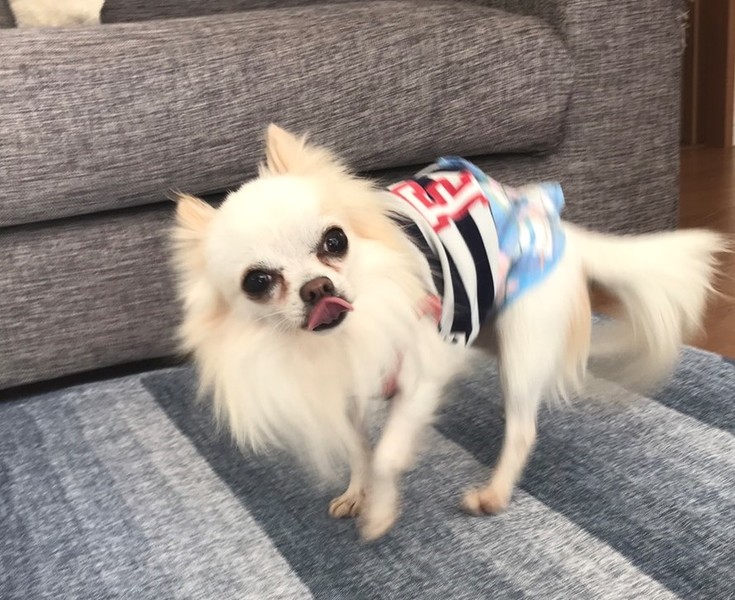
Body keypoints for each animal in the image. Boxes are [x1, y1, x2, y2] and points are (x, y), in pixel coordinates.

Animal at [171, 124, 724, 540]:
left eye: (334, 241)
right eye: (257, 282)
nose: (317, 287)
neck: (345, 339)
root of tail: (556, 226)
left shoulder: (421, 376)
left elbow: (387, 454)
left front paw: (380, 512)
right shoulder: (349, 392)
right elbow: (358, 448)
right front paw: (356, 491)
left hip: (523, 338)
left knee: (523, 427)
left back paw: (495, 492)